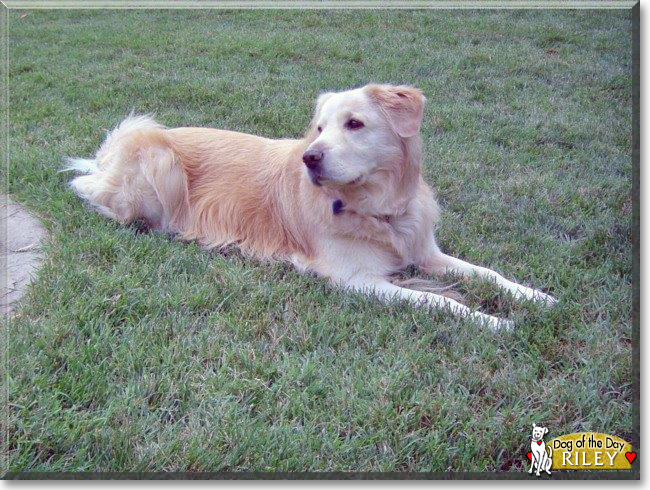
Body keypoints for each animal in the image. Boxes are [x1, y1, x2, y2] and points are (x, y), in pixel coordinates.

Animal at [66, 84, 556, 332]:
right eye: (319, 129)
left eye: (355, 124)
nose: (310, 158)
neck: (378, 210)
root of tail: (110, 157)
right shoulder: (356, 280)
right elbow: (438, 301)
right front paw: (492, 320)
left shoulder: (424, 251)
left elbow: (486, 273)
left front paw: (536, 296)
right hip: (157, 159)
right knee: (86, 187)